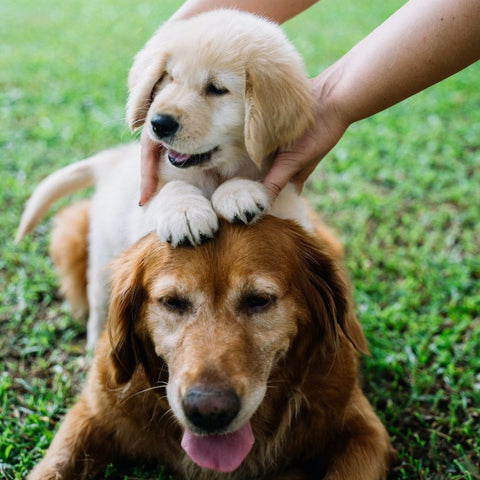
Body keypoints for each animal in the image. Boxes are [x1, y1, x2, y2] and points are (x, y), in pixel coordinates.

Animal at [16, 9, 314, 348]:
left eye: (216, 88)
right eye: (169, 77)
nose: (159, 123)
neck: (212, 174)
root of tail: (113, 160)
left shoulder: (289, 208)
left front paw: (239, 193)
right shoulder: (147, 202)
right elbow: (170, 187)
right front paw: (185, 213)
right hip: (104, 259)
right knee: (100, 308)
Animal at [27, 203, 394, 480]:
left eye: (259, 300)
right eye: (172, 302)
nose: (208, 412)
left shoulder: (363, 431)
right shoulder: (95, 412)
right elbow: (54, 465)